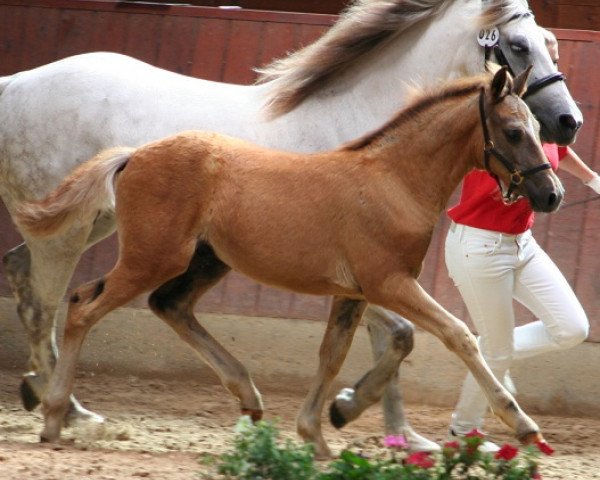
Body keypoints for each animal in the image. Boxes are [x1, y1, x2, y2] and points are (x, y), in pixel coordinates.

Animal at [18, 67, 564, 458]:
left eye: (537, 128)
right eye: (514, 131)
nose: (551, 194)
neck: (393, 182)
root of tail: (133, 154)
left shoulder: (352, 293)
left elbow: (333, 355)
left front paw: (318, 433)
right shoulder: (388, 283)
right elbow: (458, 335)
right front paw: (524, 426)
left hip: (204, 261)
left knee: (164, 305)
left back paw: (248, 396)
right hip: (153, 257)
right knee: (84, 306)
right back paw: (54, 417)